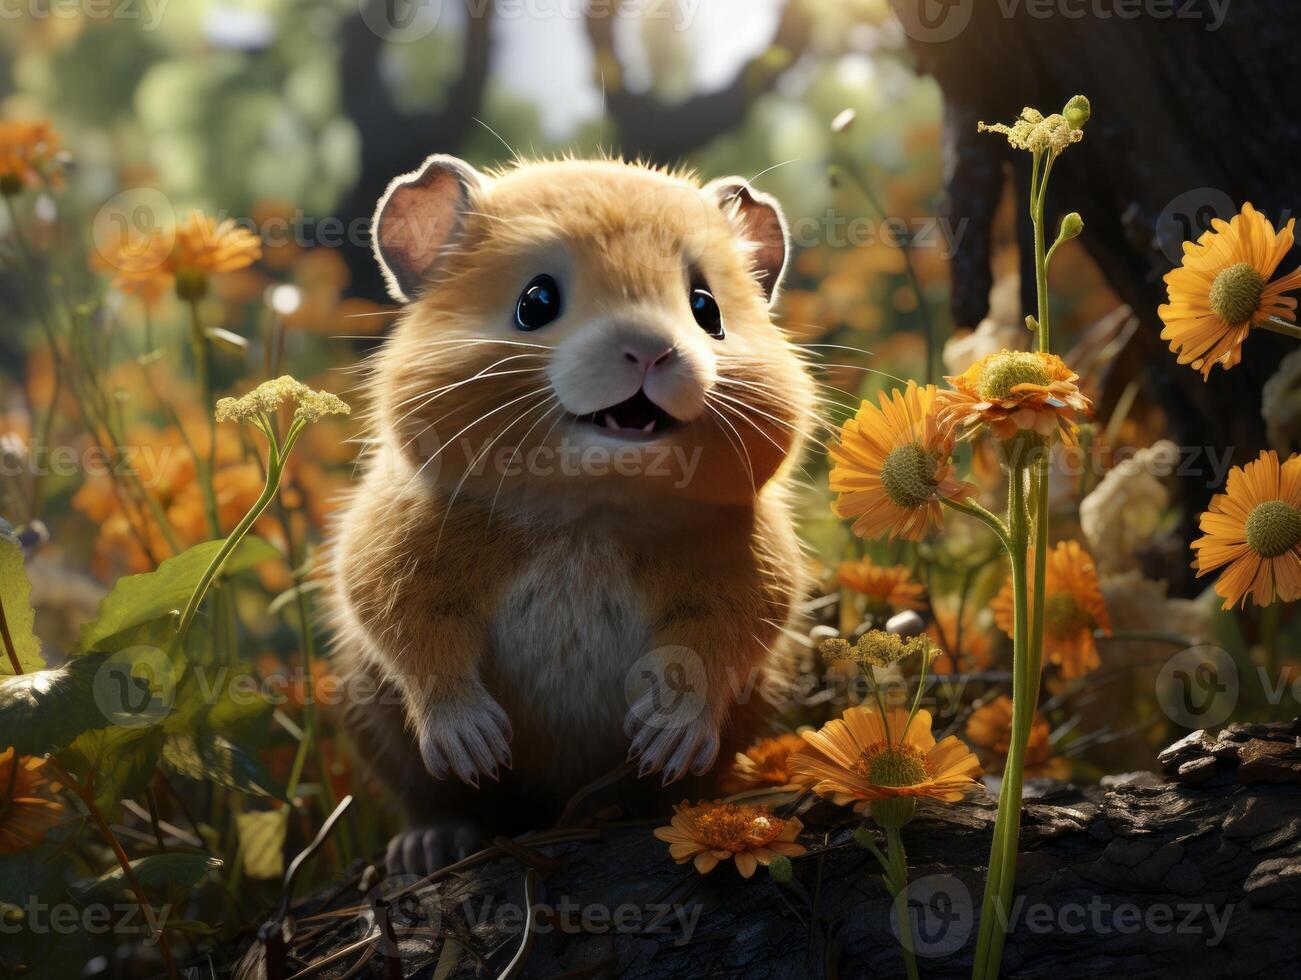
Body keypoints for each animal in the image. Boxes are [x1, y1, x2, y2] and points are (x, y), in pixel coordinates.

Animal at [325, 152, 817, 869]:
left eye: (706, 309)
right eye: (535, 303)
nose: (651, 350)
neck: (589, 510)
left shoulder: (751, 583)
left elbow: (711, 653)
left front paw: (663, 737)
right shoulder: (390, 563)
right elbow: (422, 647)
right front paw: (477, 745)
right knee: (432, 800)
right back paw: (429, 847)